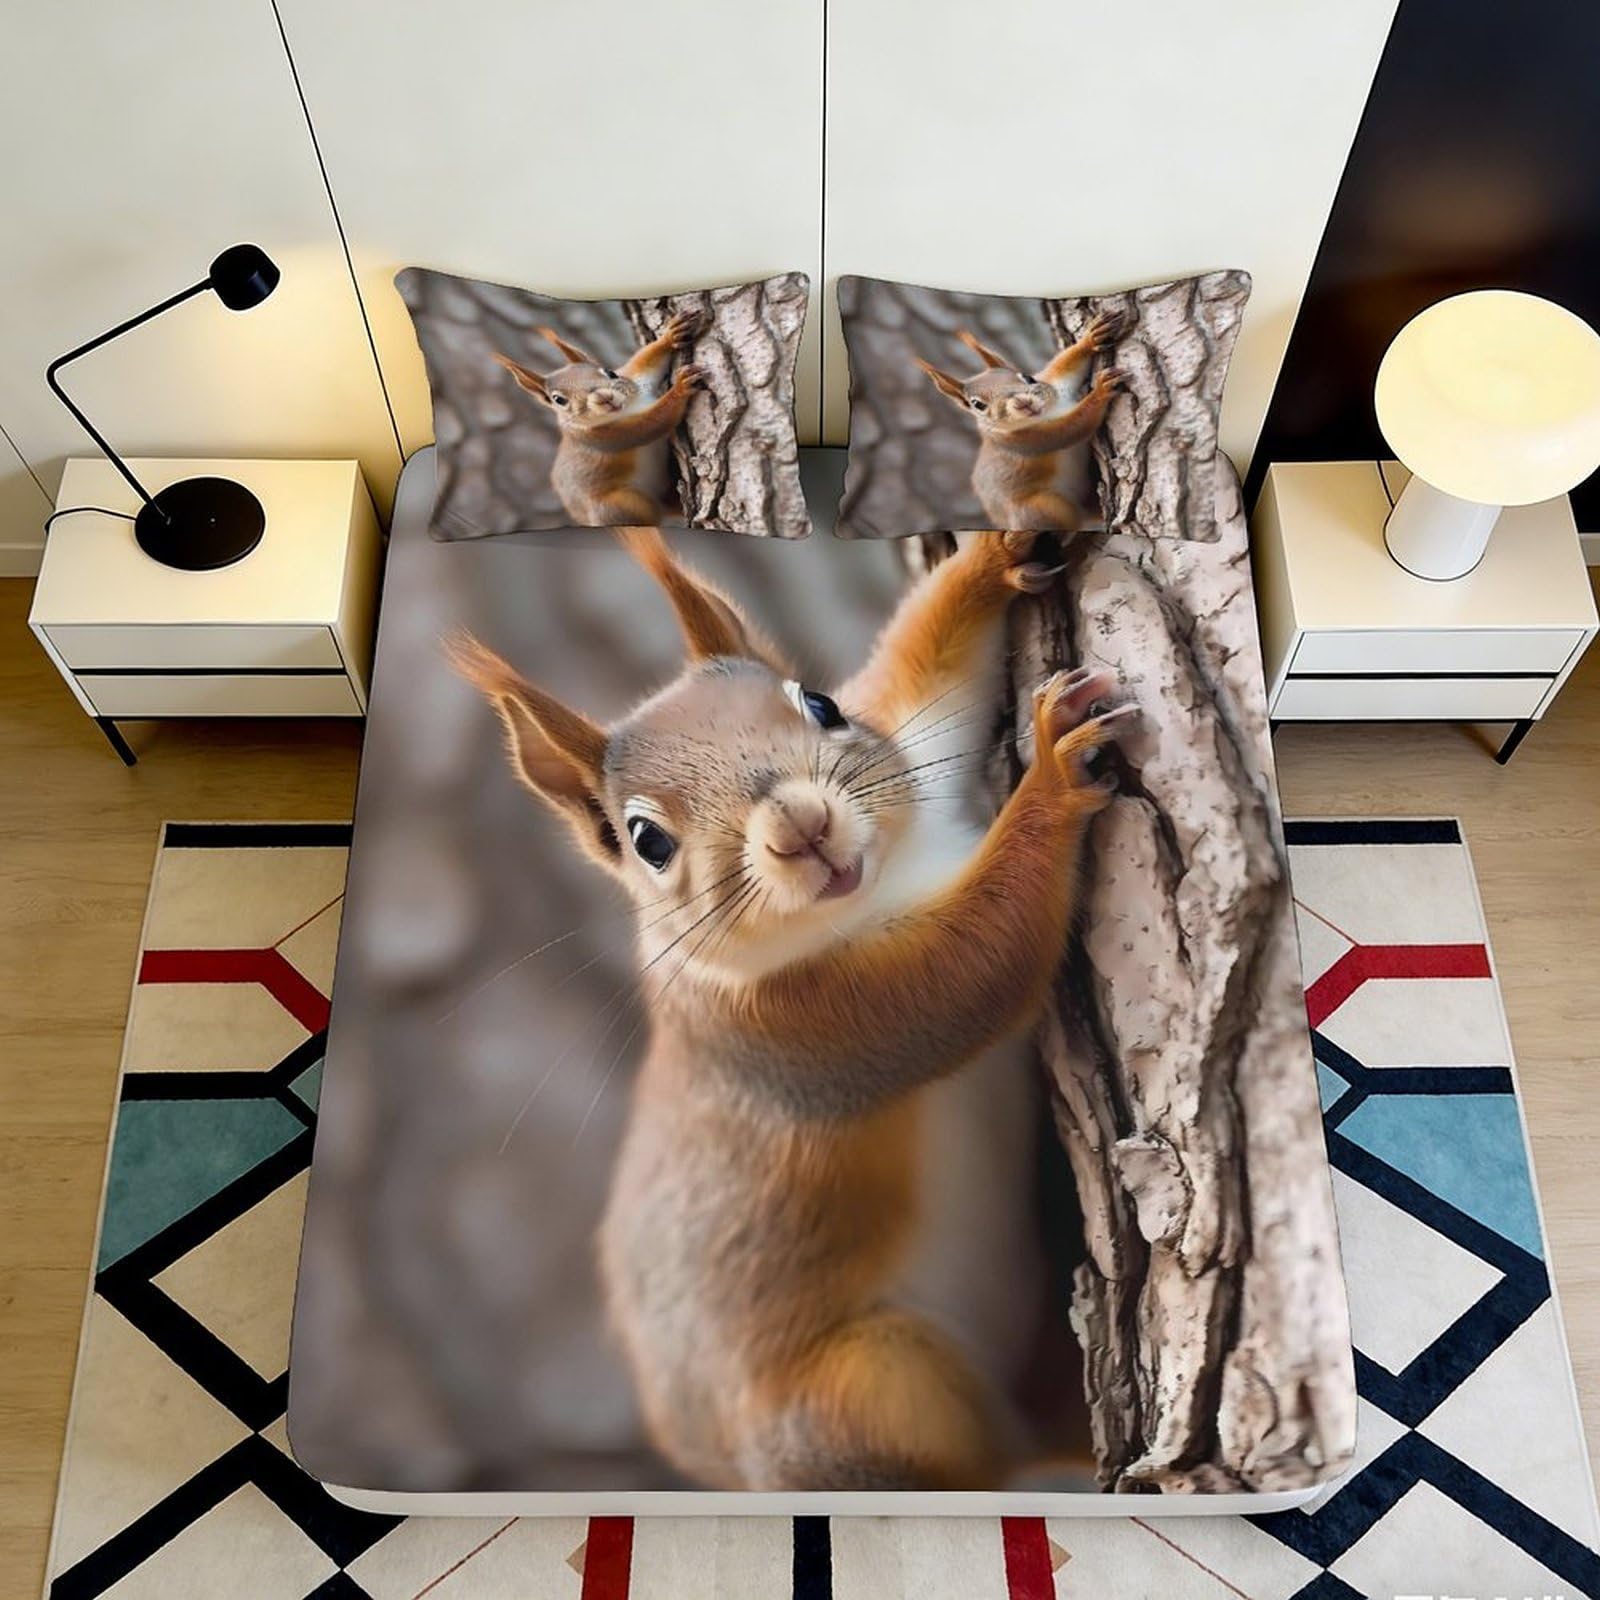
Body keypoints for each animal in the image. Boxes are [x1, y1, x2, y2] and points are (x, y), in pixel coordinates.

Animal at [450, 527, 1131, 1491]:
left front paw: (995, 549)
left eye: (820, 703)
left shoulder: (911, 740)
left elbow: (927, 666)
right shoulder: (795, 1029)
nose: (801, 826)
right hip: (870, 1389)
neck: (886, 881)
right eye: (646, 841)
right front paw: (1053, 772)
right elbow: (975, 969)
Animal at [494, 309, 708, 526]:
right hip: (620, 507)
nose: (604, 397)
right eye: (559, 400)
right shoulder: (600, 436)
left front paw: (672, 335)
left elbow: (646, 360)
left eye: (610, 372)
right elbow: (652, 424)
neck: (627, 408)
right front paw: (680, 388)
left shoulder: (635, 376)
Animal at [916, 312, 1125, 532]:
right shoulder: (1022, 440)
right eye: (977, 404)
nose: (1023, 402)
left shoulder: (1054, 380)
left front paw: (1091, 337)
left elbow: (1066, 363)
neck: (1047, 411)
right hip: (1043, 509)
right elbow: (1072, 428)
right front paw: (1100, 391)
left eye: (1027, 377)